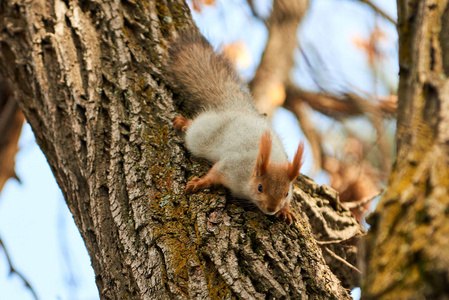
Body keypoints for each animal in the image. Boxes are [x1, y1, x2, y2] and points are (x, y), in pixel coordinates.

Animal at [168, 31, 304, 224]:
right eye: (260, 187)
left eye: (285, 193)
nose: (271, 209)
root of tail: (238, 109)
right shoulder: (232, 168)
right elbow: (214, 174)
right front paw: (199, 183)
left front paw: (286, 210)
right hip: (204, 133)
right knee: (195, 129)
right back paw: (184, 122)